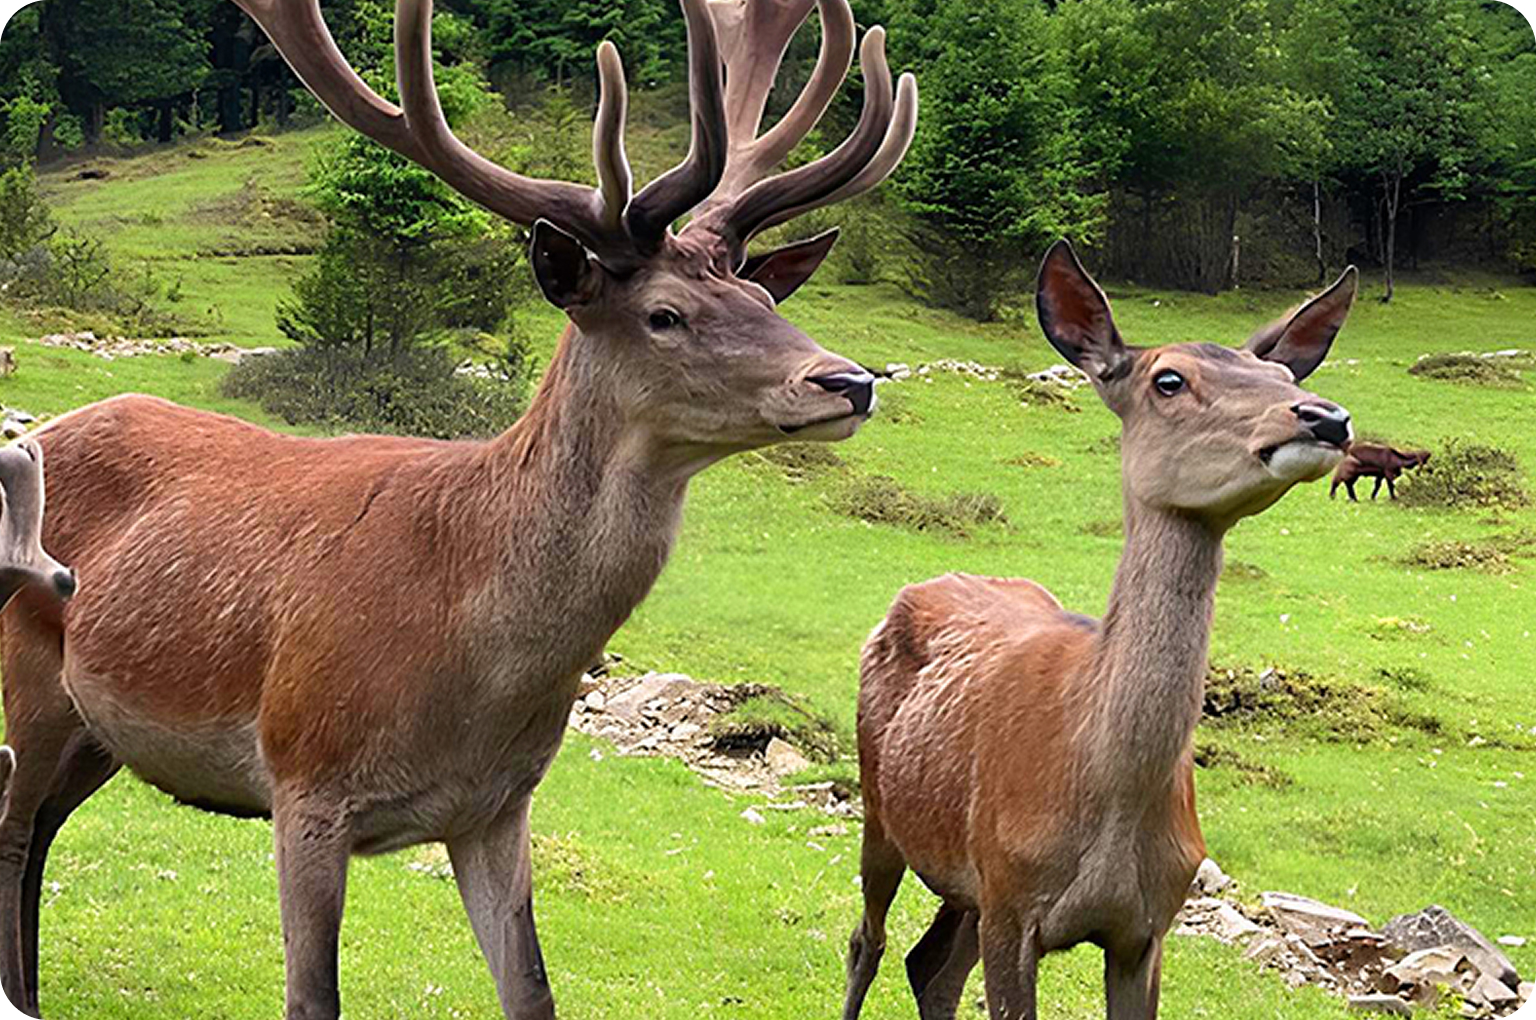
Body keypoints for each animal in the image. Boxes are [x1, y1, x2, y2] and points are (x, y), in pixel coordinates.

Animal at [0, 1, 917, 1016]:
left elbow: (533, 990)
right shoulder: (303, 774)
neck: (465, 666)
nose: (849, 381)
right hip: (29, 678)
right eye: (665, 314)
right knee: (12, 835)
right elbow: (312, 995)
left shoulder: (497, 804)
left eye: (761, 291)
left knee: (41, 835)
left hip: (97, 732)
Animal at [841, 241, 1357, 1020]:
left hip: (964, 881)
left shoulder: (1147, 923)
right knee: (867, 943)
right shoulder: (1011, 894)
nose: (1327, 417)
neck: (1103, 791)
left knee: (929, 965)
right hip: (882, 806)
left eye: (1283, 375)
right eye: (1169, 379)